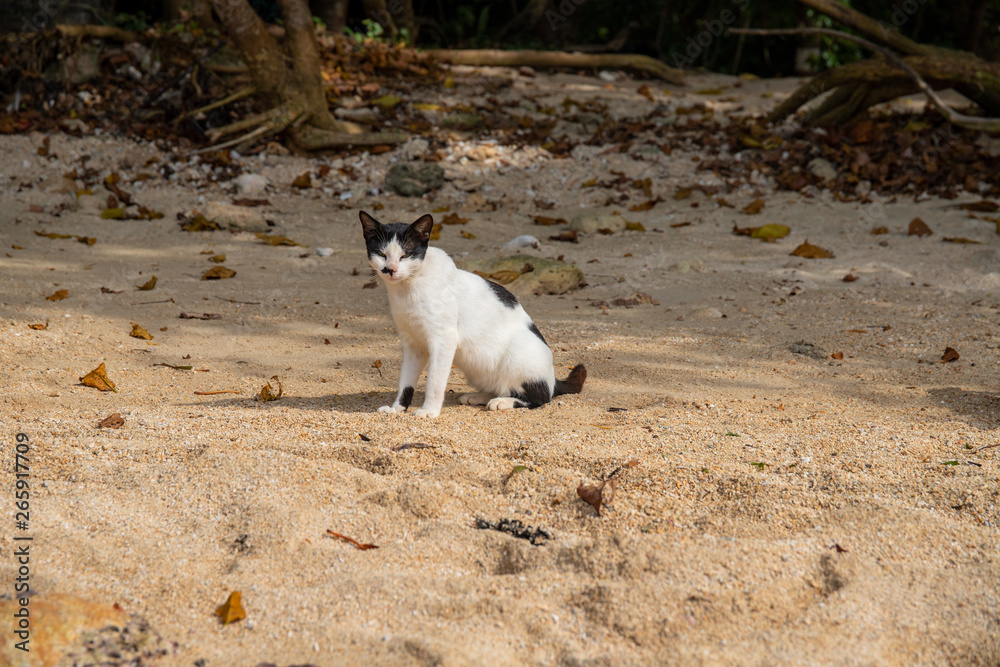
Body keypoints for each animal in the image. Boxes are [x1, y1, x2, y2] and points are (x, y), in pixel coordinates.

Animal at [362, 210, 584, 418]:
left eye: (405, 255)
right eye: (381, 254)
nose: (390, 269)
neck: (409, 286)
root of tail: (553, 378)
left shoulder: (444, 339)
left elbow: (434, 381)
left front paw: (430, 411)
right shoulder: (412, 344)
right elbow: (405, 381)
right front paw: (397, 408)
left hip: (519, 351)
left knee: (541, 397)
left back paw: (502, 401)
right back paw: (481, 396)